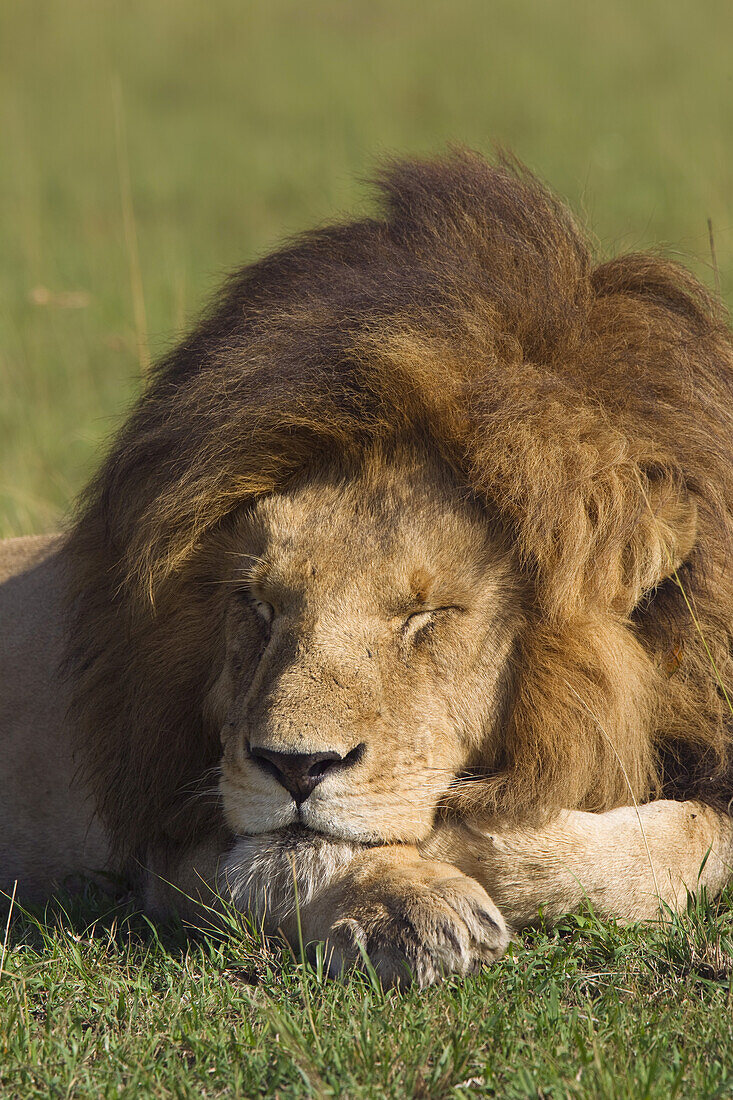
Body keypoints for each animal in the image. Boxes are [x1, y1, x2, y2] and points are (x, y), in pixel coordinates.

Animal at [1, 148, 730, 990]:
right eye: (259, 605)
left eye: (425, 616)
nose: (294, 767)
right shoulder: (170, 839)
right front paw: (402, 900)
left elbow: (680, 846)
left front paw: (463, 840)